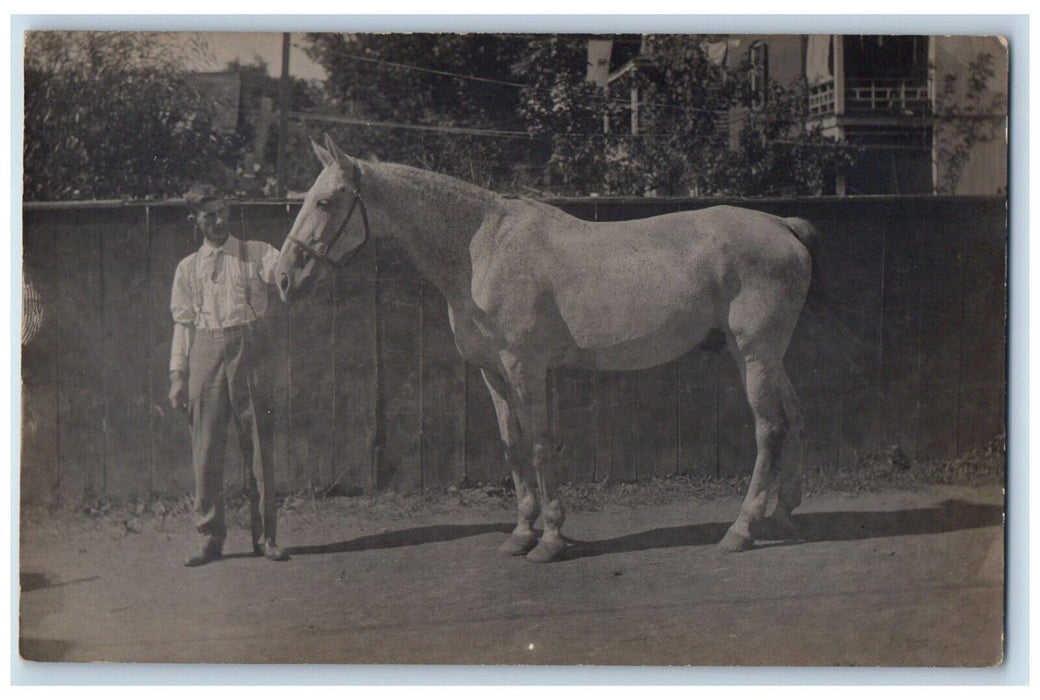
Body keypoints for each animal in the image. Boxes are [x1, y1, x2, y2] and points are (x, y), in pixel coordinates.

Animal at [280, 135, 815, 561]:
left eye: (325, 201)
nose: (284, 278)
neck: (482, 249)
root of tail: (782, 224)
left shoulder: (525, 366)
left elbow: (539, 443)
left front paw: (552, 539)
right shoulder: (492, 372)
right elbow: (512, 444)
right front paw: (521, 533)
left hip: (754, 353)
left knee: (769, 427)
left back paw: (741, 529)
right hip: (764, 356)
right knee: (792, 414)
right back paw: (784, 514)